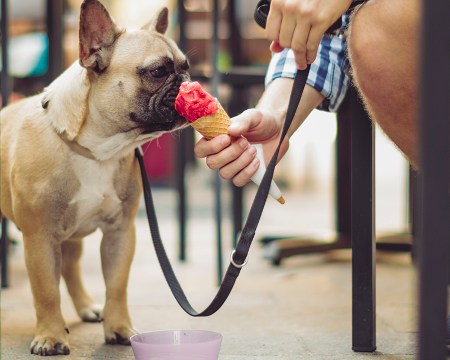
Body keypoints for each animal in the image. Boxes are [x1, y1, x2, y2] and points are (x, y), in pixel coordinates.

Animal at [0, 0, 190, 354]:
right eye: (158, 71)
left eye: (187, 66)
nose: (190, 82)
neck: (98, 151)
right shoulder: (40, 237)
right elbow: (45, 290)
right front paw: (50, 336)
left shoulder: (120, 232)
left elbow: (116, 285)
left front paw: (119, 328)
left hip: (71, 233)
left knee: (71, 264)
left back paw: (87, 307)